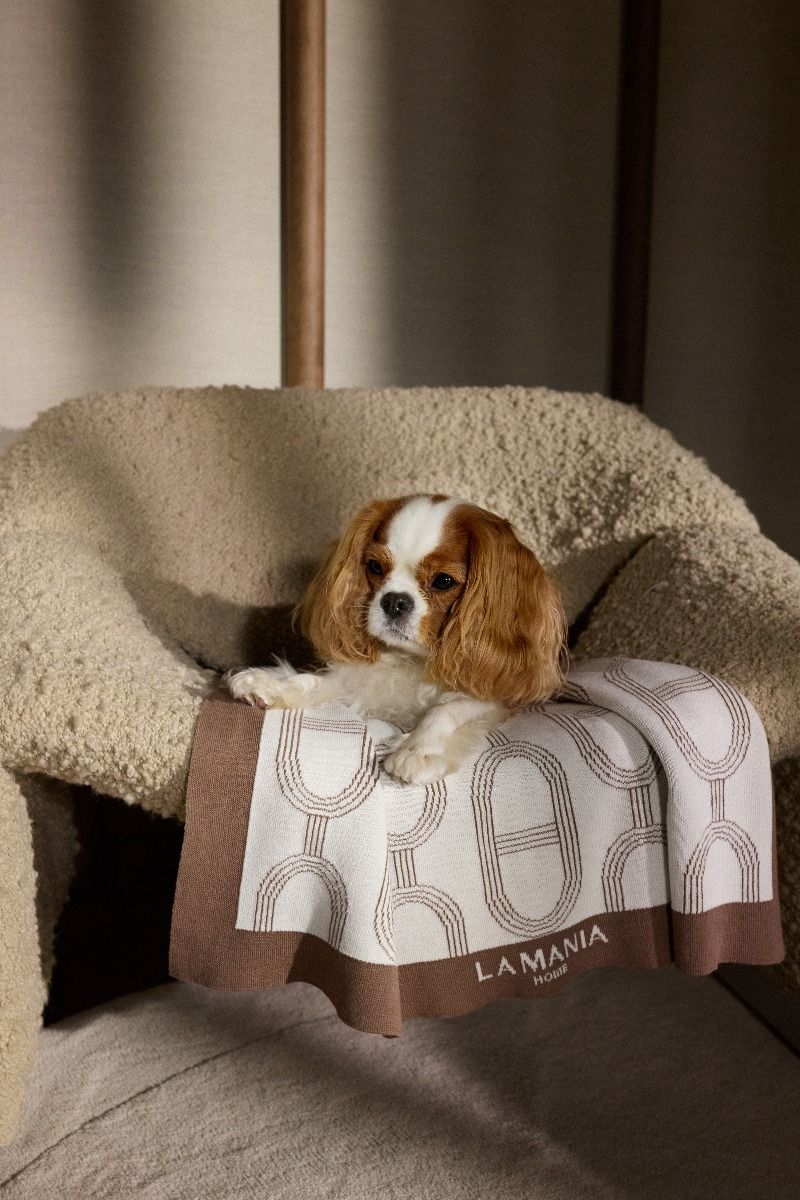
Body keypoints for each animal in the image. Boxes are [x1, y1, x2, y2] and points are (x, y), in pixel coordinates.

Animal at [226, 494, 566, 785]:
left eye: (444, 581)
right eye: (375, 567)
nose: (394, 601)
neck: (411, 658)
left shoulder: (498, 700)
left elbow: (446, 710)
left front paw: (417, 751)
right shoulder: (360, 682)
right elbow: (312, 681)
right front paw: (270, 683)